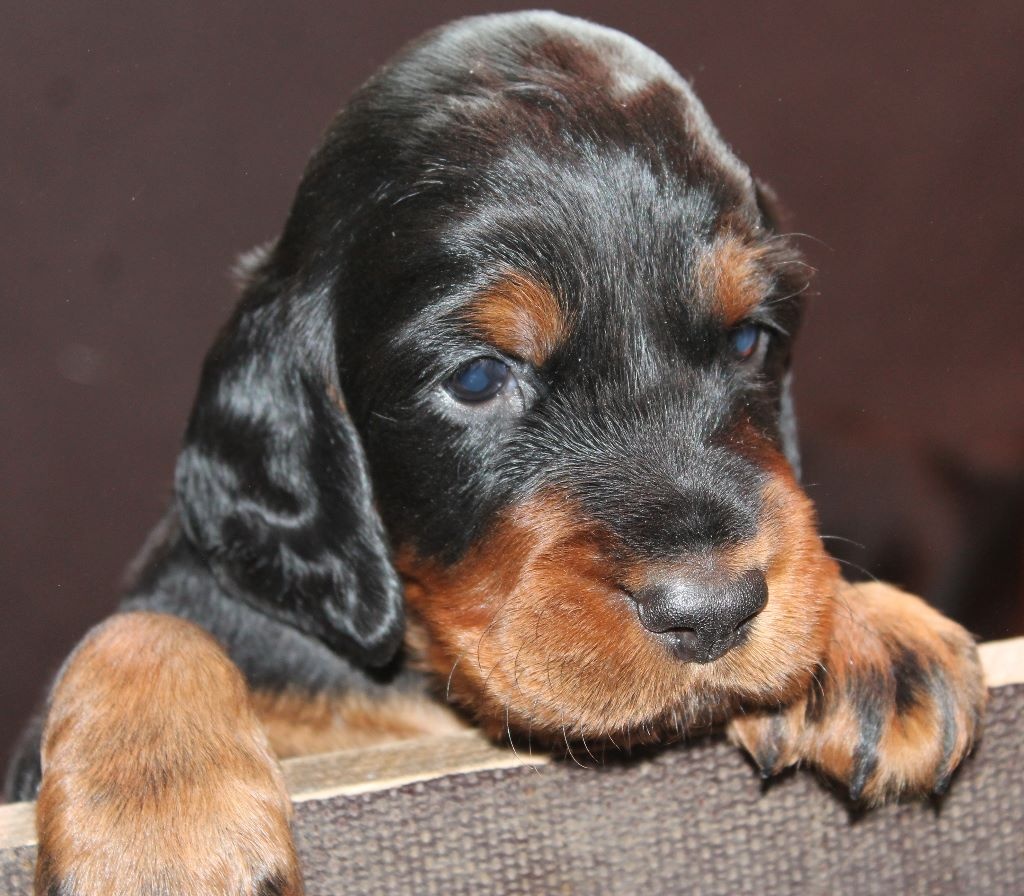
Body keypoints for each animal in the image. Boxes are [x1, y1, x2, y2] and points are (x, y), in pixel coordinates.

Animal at [6, 14, 983, 896]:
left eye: (750, 341)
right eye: (477, 377)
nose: (713, 612)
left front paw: (860, 632)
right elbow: (145, 623)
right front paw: (159, 826)